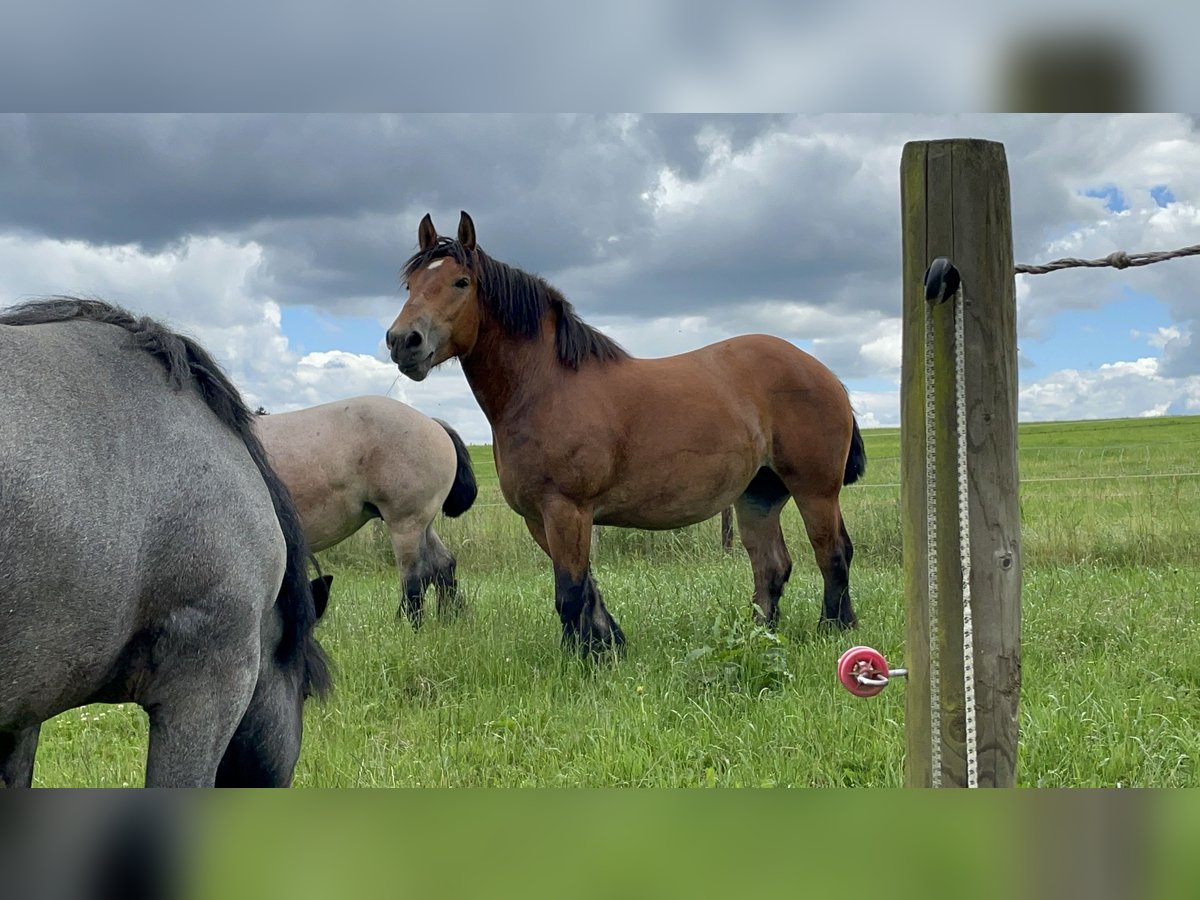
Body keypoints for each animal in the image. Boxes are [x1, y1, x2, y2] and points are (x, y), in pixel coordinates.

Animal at [258, 398, 477, 624]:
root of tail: (433, 423)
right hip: (424, 523)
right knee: (443, 565)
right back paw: (447, 619)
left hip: (406, 525)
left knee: (416, 576)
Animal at [384, 214, 864, 657]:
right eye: (409, 285)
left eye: (460, 281)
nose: (403, 341)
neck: (546, 387)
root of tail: (823, 373)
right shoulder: (542, 518)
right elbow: (586, 587)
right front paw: (607, 645)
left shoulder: (567, 509)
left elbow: (570, 592)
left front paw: (582, 661)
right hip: (758, 495)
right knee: (771, 567)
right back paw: (760, 637)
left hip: (815, 491)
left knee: (832, 554)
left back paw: (834, 629)